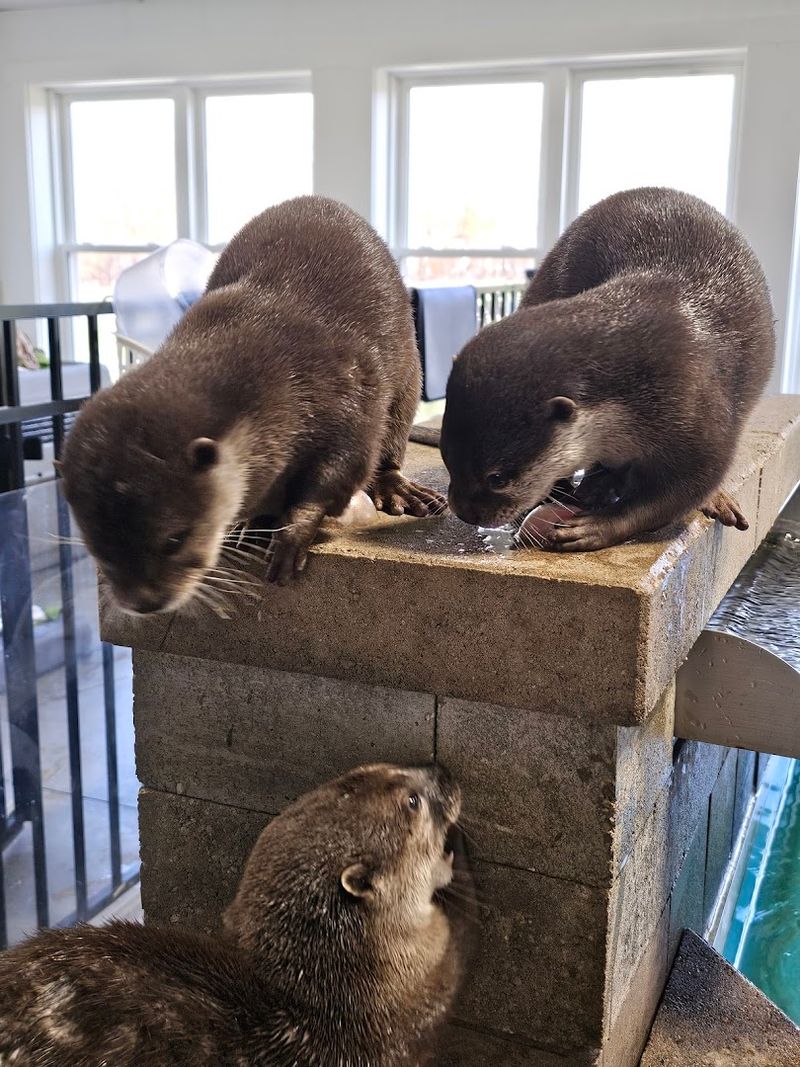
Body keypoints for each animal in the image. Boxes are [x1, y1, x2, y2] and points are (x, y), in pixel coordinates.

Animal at [60, 196, 444, 610]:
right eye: (94, 544)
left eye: (175, 538)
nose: (145, 602)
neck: (276, 378)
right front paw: (250, 522)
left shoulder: (348, 396)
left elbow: (341, 471)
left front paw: (292, 536)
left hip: (408, 374)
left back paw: (399, 491)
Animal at [441, 187, 775, 550]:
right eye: (447, 457)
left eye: (497, 477)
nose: (465, 512)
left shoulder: (699, 416)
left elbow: (677, 494)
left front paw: (595, 527)